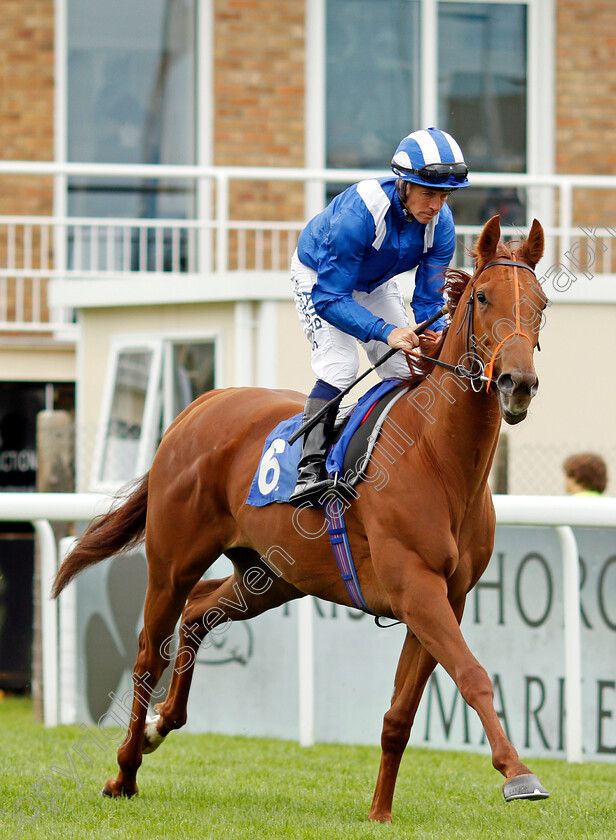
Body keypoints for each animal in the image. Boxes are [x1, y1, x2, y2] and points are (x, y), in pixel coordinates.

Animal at [55, 215, 552, 820]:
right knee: (150, 652)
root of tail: (199, 406)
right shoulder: (417, 588)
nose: (517, 383)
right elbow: (475, 676)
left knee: (198, 614)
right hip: (174, 561)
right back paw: (125, 770)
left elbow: (400, 714)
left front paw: (380, 812)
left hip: (272, 574)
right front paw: (519, 774)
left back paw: (160, 725)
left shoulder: (445, 597)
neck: (438, 459)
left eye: (541, 304)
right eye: (482, 297)